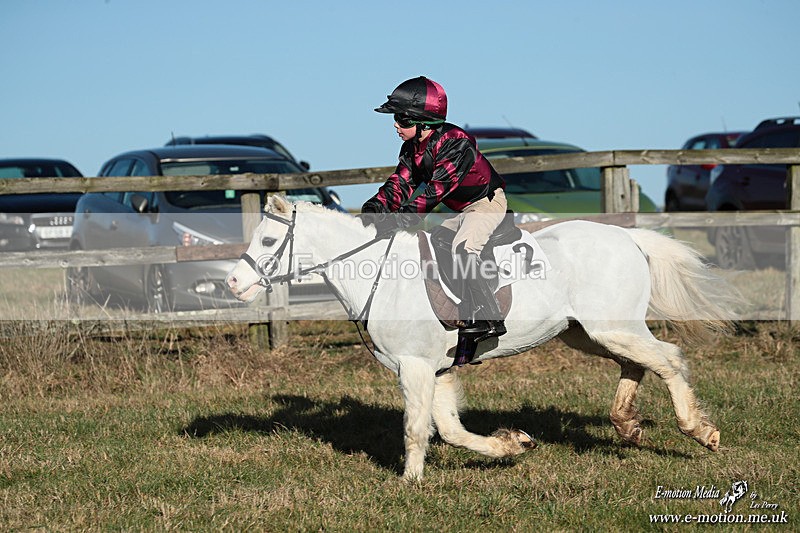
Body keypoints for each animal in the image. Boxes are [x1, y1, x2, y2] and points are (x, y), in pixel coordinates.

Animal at [226, 195, 735, 481]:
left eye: (268, 243)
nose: (232, 283)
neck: (379, 275)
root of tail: (628, 239)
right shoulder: (437, 370)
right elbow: (451, 430)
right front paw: (512, 446)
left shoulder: (414, 366)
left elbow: (416, 428)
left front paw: (408, 483)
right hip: (586, 332)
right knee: (637, 364)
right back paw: (626, 423)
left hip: (613, 327)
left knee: (668, 359)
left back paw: (700, 431)